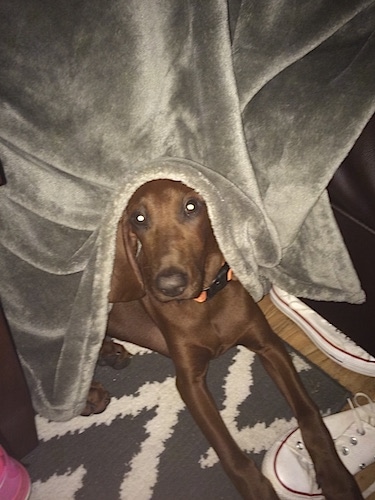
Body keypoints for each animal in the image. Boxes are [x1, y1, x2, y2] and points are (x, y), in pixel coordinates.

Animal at [106, 180, 364, 500]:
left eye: (191, 206)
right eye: (138, 218)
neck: (206, 302)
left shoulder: (269, 345)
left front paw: (335, 475)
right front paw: (258, 489)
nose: (170, 286)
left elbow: (309, 412)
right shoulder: (189, 381)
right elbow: (229, 453)